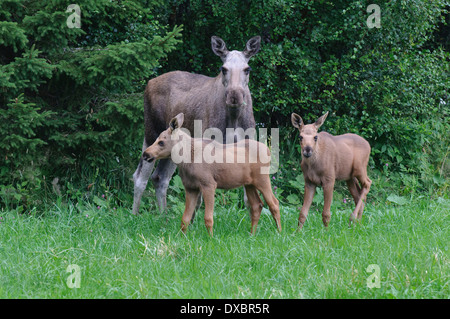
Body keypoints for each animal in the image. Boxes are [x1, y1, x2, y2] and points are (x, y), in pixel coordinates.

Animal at [132, 35, 262, 215]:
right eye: (223, 68)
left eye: (247, 69)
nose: (234, 96)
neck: (234, 118)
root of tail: (149, 82)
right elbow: (200, 199)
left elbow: (248, 199)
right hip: (151, 132)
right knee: (140, 177)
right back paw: (134, 215)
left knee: (160, 177)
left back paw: (163, 215)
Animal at [142, 114, 282, 236]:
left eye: (161, 142)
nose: (145, 154)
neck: (186, 159)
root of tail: (269, 150)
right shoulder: (191, 188)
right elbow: (185, 218)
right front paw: (182, 237)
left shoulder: (209, 185)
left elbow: (208, 218)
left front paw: (211, 238)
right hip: (249, 184)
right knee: (257, 206)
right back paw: (252, 235)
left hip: (262, 179)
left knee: (274, 203)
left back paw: (280, 233)